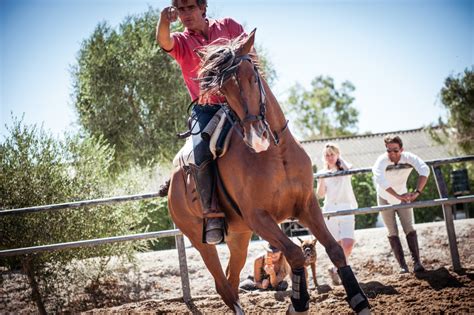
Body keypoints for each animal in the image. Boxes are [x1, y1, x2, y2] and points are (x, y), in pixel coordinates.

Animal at [167, 29, 370, 314]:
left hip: (239, 236)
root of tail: (172, 185)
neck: (276, 155)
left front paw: (359, 300)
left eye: (253, 78)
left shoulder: (306, 206)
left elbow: (335, 249)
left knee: (232, 278)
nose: (257, 138)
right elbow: (294, 253)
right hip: (201, 241)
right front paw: (298, 303)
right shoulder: (259, 218)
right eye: (223, 90)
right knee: (223, 285)